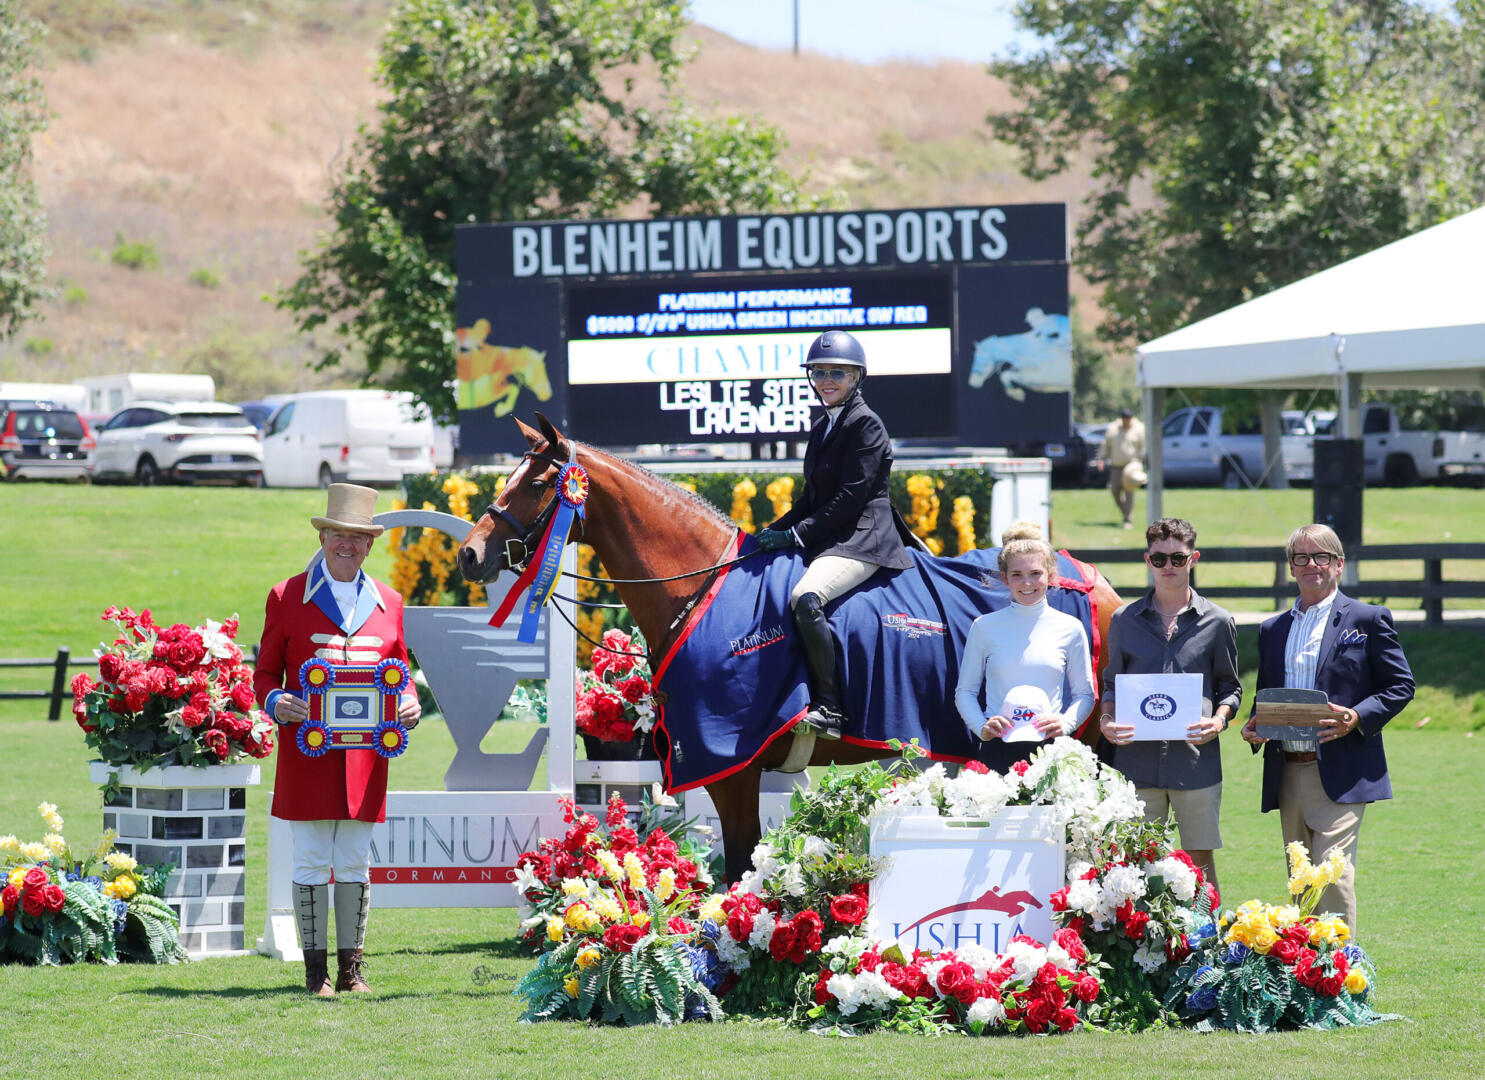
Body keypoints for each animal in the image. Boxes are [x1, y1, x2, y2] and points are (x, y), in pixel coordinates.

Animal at [457, 415, 1116, 885]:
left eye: (537, 483)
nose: (469, 554)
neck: (702, 584)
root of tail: (1090, 580)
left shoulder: (729, 762)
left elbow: (738, 868)